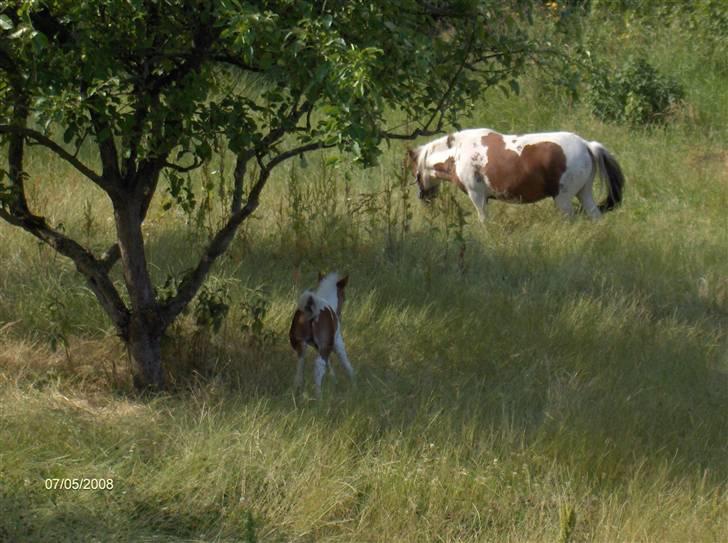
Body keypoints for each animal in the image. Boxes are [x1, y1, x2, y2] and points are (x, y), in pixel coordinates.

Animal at [404, 129, 624, 220]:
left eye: (415, 173)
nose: (424, 198)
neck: (459, 151)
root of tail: (587, 145)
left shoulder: (477, 196)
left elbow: (484, 220)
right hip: (584, 193)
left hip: (563, 199)